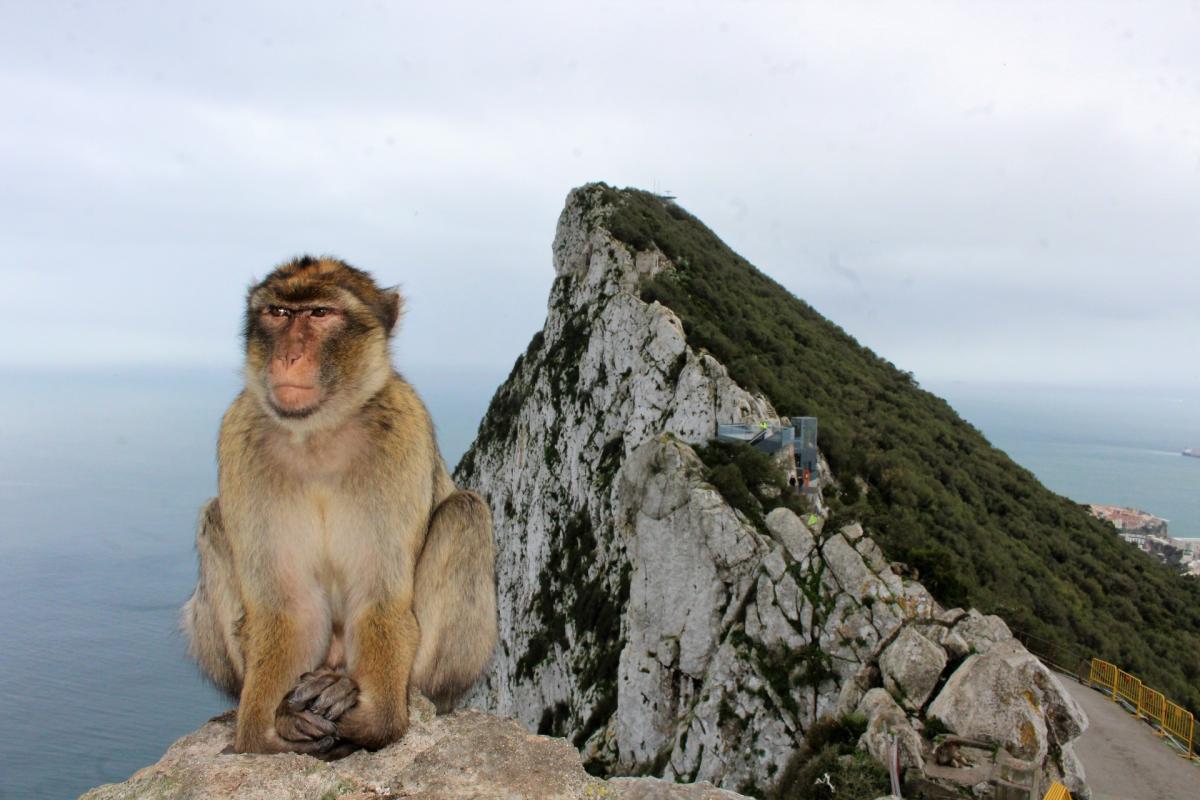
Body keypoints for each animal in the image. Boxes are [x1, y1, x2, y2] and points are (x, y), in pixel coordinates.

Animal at [181, 255, 497, 757]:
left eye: (320, 314)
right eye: (277, 313)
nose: (287, 357)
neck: (317, 434)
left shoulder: (401, 431)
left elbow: (380, 600)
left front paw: (371, 721)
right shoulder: (240, 434)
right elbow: (289, 609)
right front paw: (271, 730)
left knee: (465, 512)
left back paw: (356, 688)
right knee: (214, 518)